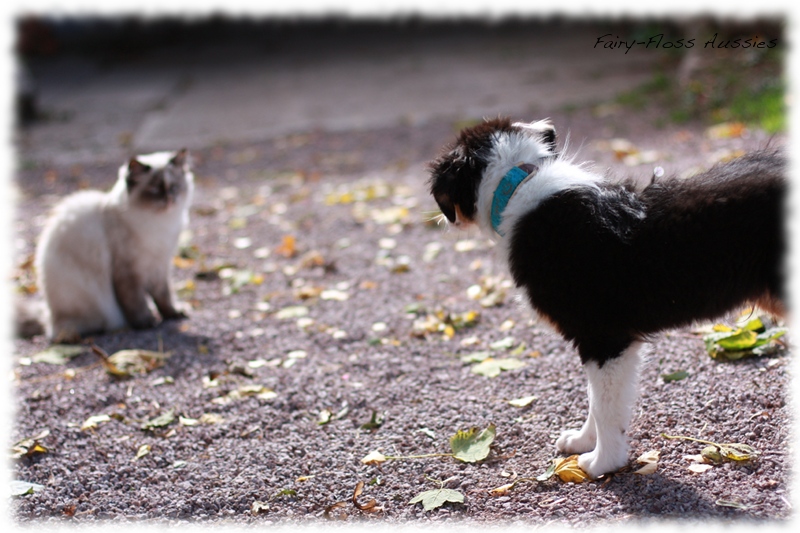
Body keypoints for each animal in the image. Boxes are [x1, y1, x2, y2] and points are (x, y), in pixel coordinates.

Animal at [31, 148, 195, 342]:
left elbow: (164, 296)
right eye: (154, 190)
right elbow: (136, 301)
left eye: (174, 187)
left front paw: (172, 314)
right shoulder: (128, 271)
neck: (161, 223)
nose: (170, 199)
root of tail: (49, 320)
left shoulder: (159, 265)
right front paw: (146, 322)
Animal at [428, 118, 784, 480]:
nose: (440, 220)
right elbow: (594, 397)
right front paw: (582, 442)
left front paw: (602, 463)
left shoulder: (604, 338)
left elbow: (603, 405)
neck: (518, 182)